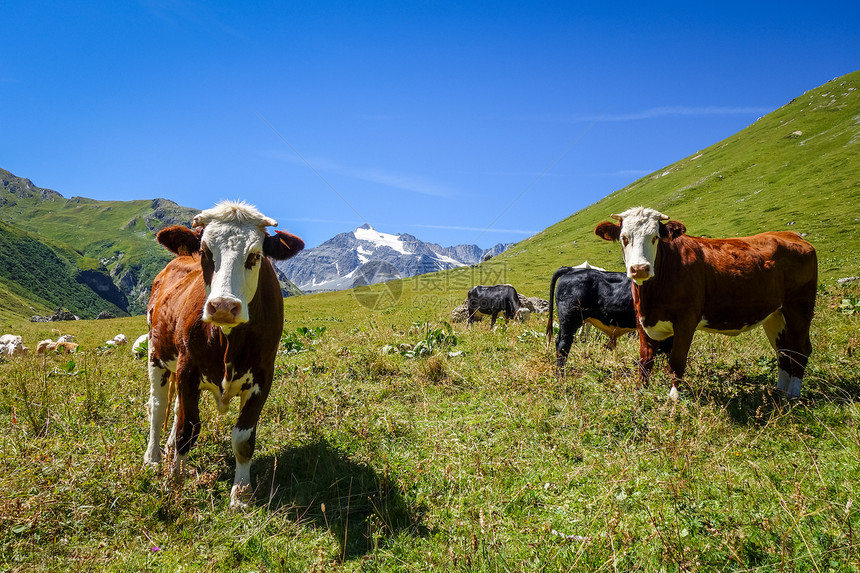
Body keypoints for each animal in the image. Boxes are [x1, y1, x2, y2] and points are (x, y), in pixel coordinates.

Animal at [142, 201, 302, 510]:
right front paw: (174, 481)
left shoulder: (263, 375)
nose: (224, 306)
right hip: (157, 353)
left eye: (255, 255)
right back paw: (153, 457)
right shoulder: (188, 369)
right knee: (157, 405)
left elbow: (243, 438)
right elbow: (188, 429)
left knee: (175, 408)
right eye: (205, 252)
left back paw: (166, 450)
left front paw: (241, 494)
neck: (228, 338)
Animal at [596, 208, 816, 400]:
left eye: (655, 237)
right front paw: (640, 393)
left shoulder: (686, 319)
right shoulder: (642, 318)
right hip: (775, 315)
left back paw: (793, 396)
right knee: (784, 351)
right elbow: (645, 360)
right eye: (624, 238)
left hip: (799, 307)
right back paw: (780, 394)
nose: (640, 268)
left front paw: (673, 399)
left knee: (800, 350)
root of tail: (792, 235)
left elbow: (676, 361)